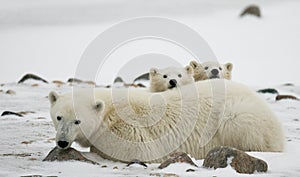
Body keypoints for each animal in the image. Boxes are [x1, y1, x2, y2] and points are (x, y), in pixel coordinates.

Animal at [48, 80, 284, 163]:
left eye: (78, 121)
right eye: (59, 117)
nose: (62, 142)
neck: (109, 110)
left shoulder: (129, 127)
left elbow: (137, 149)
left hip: (238, 114)